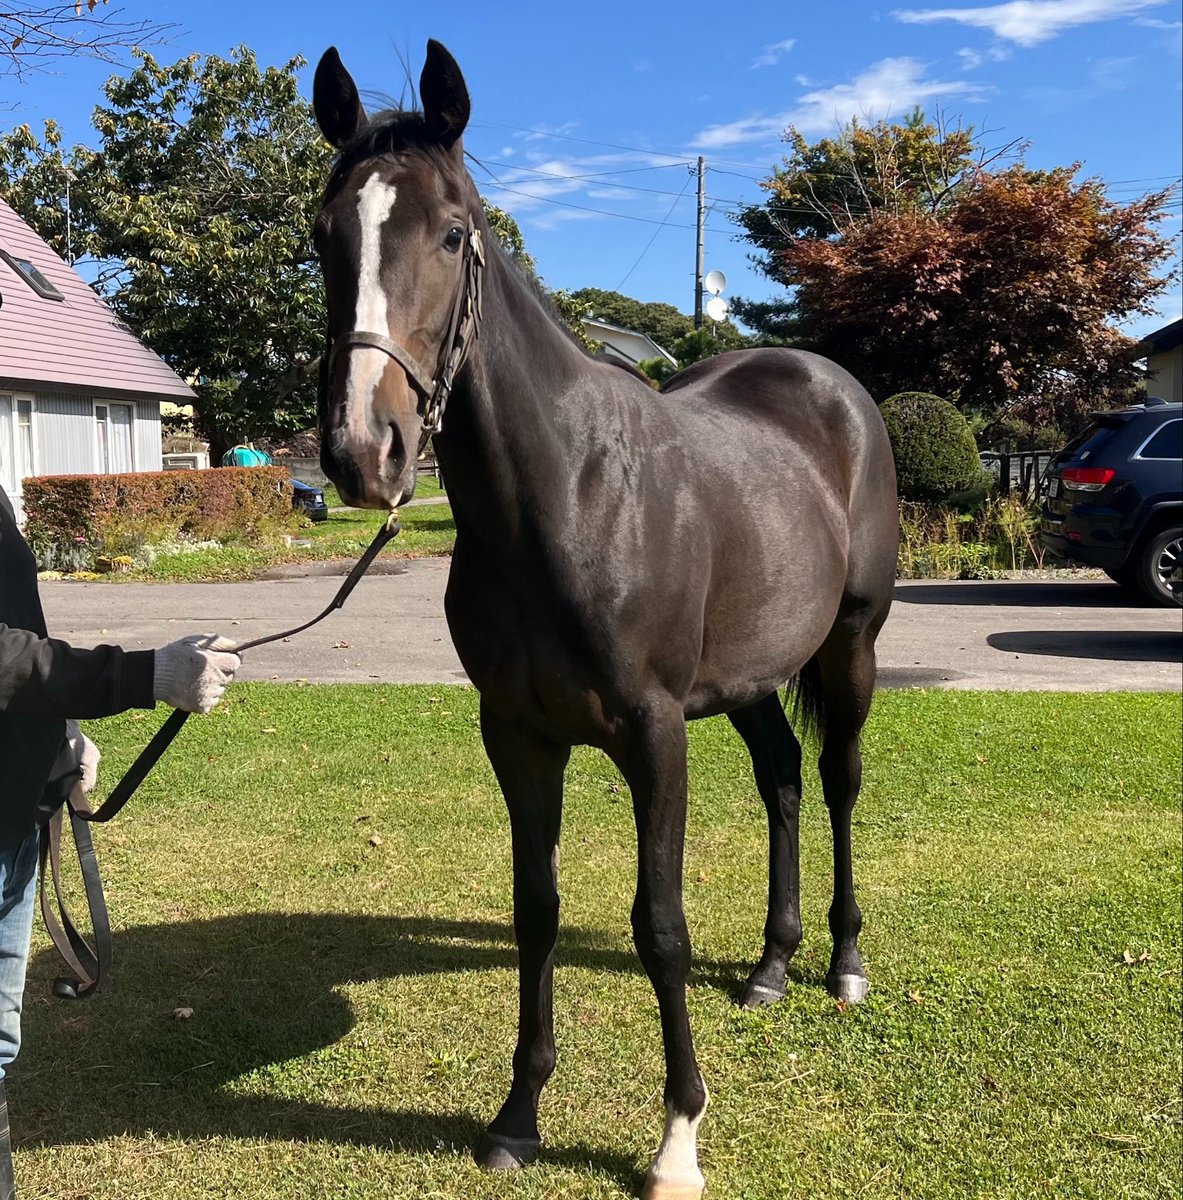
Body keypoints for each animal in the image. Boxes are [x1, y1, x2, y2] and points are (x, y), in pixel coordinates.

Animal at [311, 40, 897, 1200]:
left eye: (453, 233)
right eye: (323, 233)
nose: (365, 452)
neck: (568, 497)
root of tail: (831, 386)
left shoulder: (653, 732)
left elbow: (657, 925)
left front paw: (677, 1139)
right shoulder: (517, 735)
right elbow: (535, 909)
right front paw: (517, 1117)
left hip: (848, 649)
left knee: (839, 783)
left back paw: (844, 964)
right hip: (746, 682)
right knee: (781, 779)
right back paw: (771, 965)